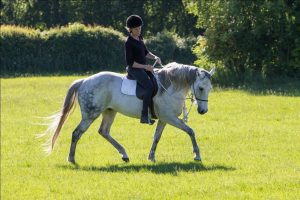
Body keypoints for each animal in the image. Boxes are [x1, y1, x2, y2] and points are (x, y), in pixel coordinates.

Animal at [43, 62, 214, 164]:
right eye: (200, 88)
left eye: (210, 88)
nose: (203, 111)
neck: (170, 87)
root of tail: (84, 81)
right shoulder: (170, 118)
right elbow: (190, 131)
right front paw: (197, 155)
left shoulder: (164, 119)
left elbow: (156, 137)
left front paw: (151, 157)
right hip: (91, 115)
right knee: (77, 133)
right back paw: (71, 159)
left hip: (109, 112)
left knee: (104, 131)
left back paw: (124, 154)